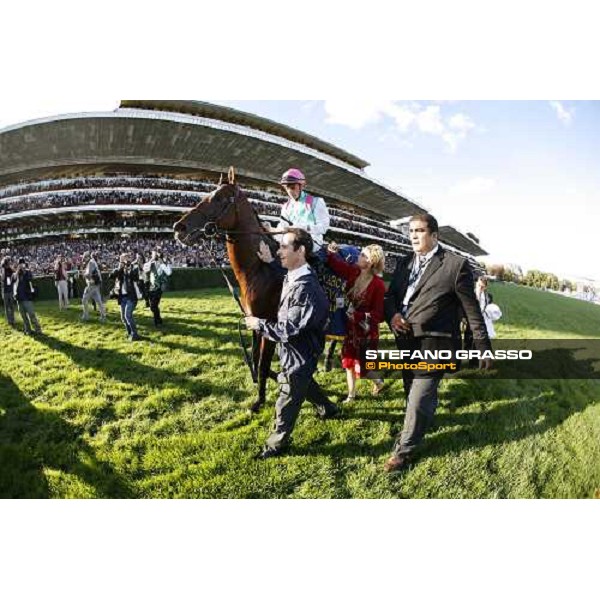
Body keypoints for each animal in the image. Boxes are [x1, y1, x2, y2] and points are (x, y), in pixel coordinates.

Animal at [171, 170, 278, 412]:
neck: (261, 268)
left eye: (219, 198)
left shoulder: (272, 326)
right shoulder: (254, 322)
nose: (179, 228)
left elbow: (263, 365)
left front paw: (259, 401)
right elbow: (258, 361)